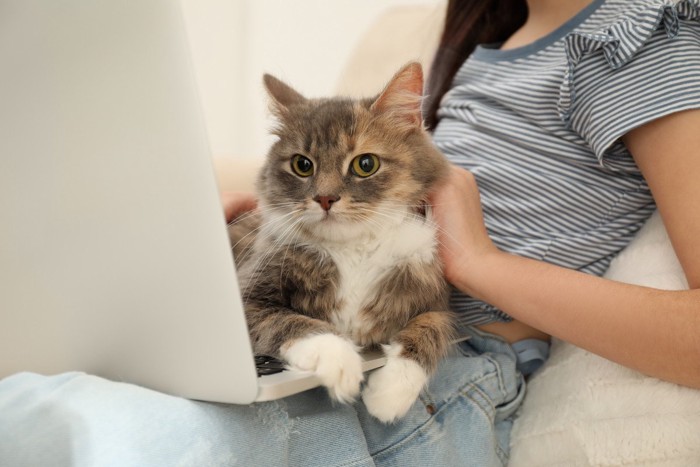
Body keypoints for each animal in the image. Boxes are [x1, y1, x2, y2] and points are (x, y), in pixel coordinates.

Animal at [231, 62, 454, 424]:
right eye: (302, 165)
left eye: (366, 164)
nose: (325, 198)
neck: (354, 250)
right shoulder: (248, 293)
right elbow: (294, 322)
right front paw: (340, 361)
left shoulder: (440, 300)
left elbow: (428, 329)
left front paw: (389, 394)